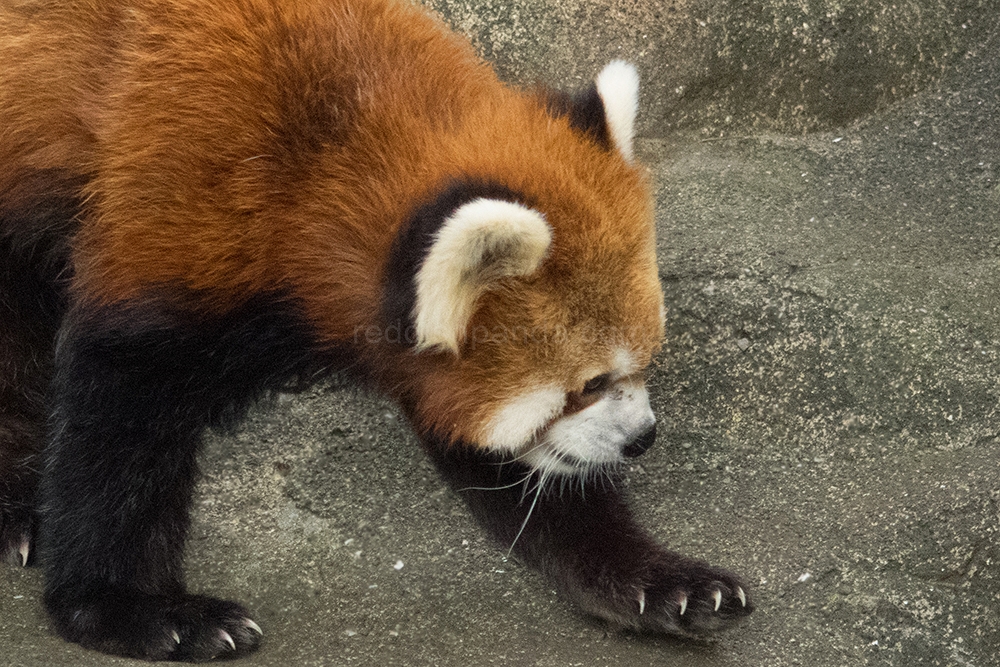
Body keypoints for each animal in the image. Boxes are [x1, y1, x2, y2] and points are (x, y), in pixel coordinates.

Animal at [0, 0, 752, 660]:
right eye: (590, 383)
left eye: (645, 361)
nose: (642, 438)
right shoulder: (178, 205)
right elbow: (119, 419)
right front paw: (136, 611)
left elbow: (509, 462)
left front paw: (657, 584)